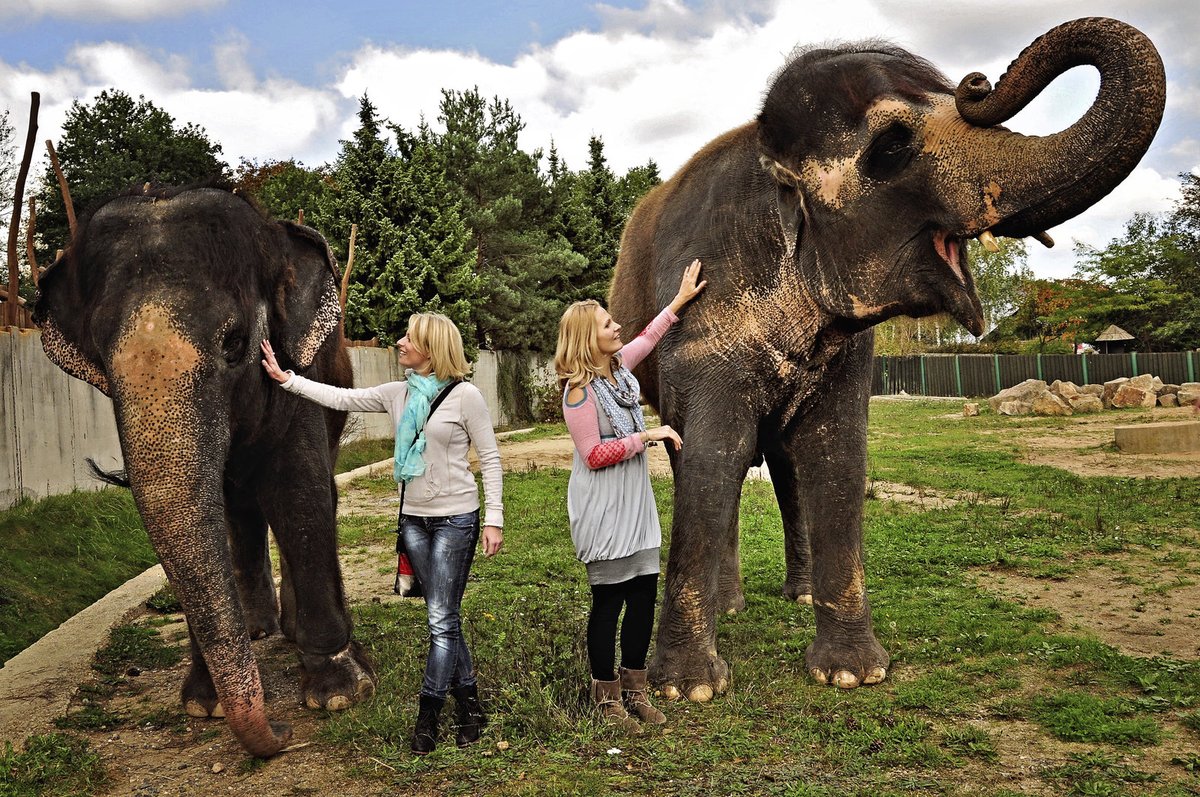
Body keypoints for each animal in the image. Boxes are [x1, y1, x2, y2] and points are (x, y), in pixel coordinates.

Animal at [35, 183, 372, 758]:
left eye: (235, 343)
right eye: (101, 358)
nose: (281, 733)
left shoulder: (296, 378)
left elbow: (299, 496)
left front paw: (337, 694)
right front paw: (203, 706)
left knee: (311, 494)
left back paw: (287, 631)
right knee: (240, 513)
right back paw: (258, 631)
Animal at [609, 18, 1161, 700]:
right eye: (894, 146)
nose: (979, 81)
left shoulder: (849, 352)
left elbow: (836, 456)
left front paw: (852, 675)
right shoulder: (702, 323)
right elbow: (712, 456)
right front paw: (690, 691)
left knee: (784, 467)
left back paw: (796, 597)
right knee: (709, 463)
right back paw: (730, 608)